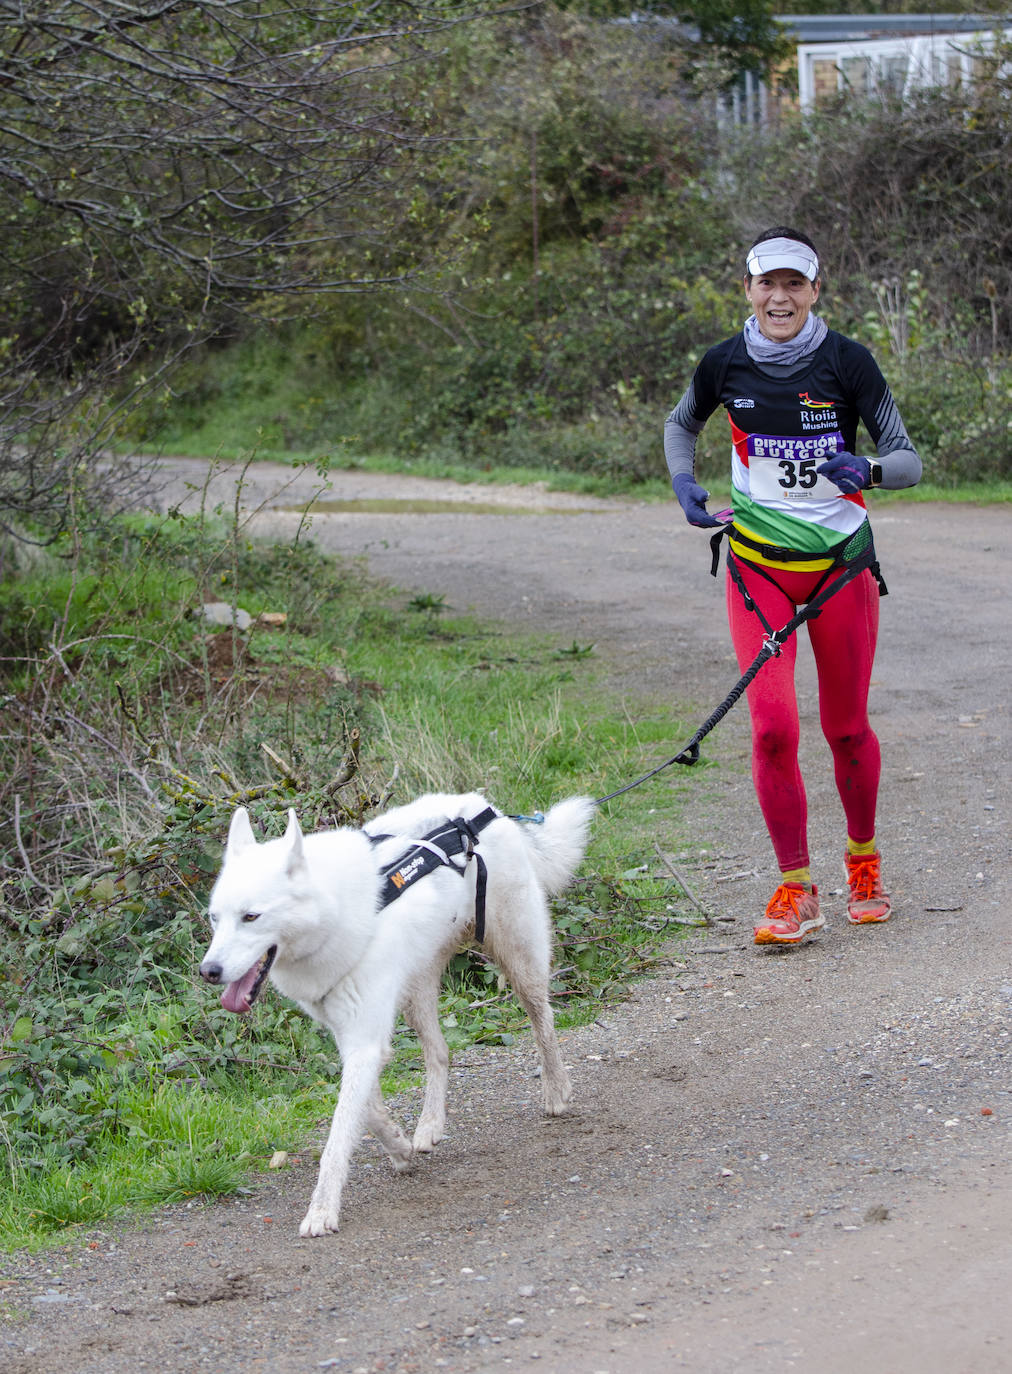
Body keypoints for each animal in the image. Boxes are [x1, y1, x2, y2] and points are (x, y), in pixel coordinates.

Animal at [197, 791, 593, 1242]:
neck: (331, 916)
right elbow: (366, 1110)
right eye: (215, 918)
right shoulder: (352, 1038)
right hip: (416, 994)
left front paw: (322, 1210)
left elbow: (339, 1135)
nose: (208, 971)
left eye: (251, 917)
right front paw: (399, 1147)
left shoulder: (366, 1042)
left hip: (519, 962)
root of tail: (482, 808)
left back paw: (556, 1091)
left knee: (544, 1020)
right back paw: (429, 1126)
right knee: (440, 1052)